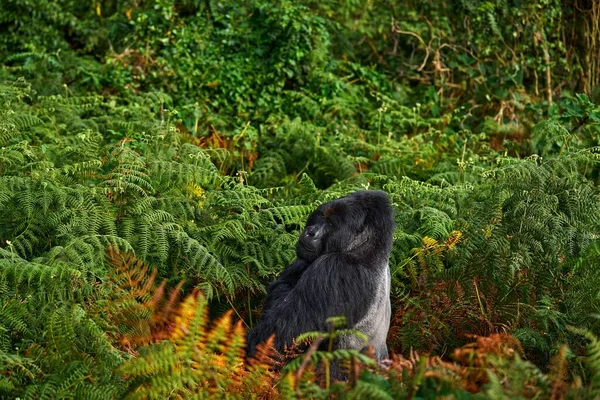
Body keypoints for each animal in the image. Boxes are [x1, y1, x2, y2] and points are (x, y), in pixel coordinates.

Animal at [245, 191, 394, 362]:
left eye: (331, 224)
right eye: (322, 216)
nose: (311, 232)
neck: (367, 250)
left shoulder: (336, 269)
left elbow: (279, 338)